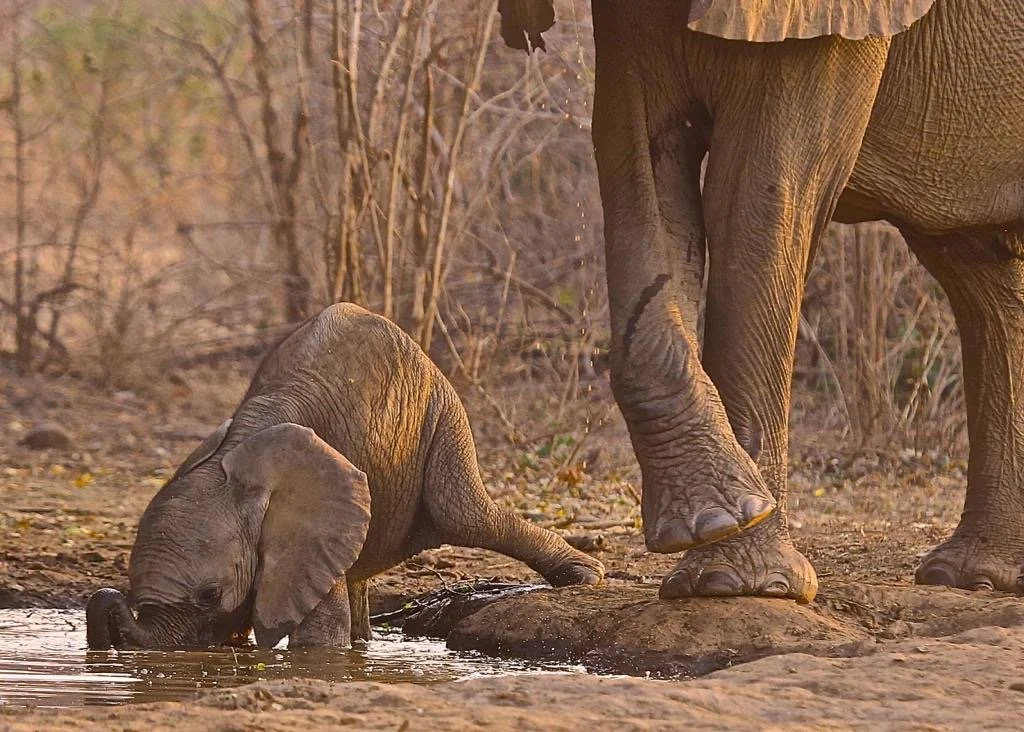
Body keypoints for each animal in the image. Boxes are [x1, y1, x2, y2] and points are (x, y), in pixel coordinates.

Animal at [85, 303, 604, 650]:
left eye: (210, 595)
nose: (107, 601)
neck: (236, 457)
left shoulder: (304, 534)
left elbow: (317, 640)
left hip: (442, 414)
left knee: (466, 515)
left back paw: (586, 575)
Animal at [499, 0, 1024, 601]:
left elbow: (759, 191)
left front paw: (734, 579)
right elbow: (640, 158)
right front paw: (716, 529)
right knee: (979, 270)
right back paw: (974, 577)